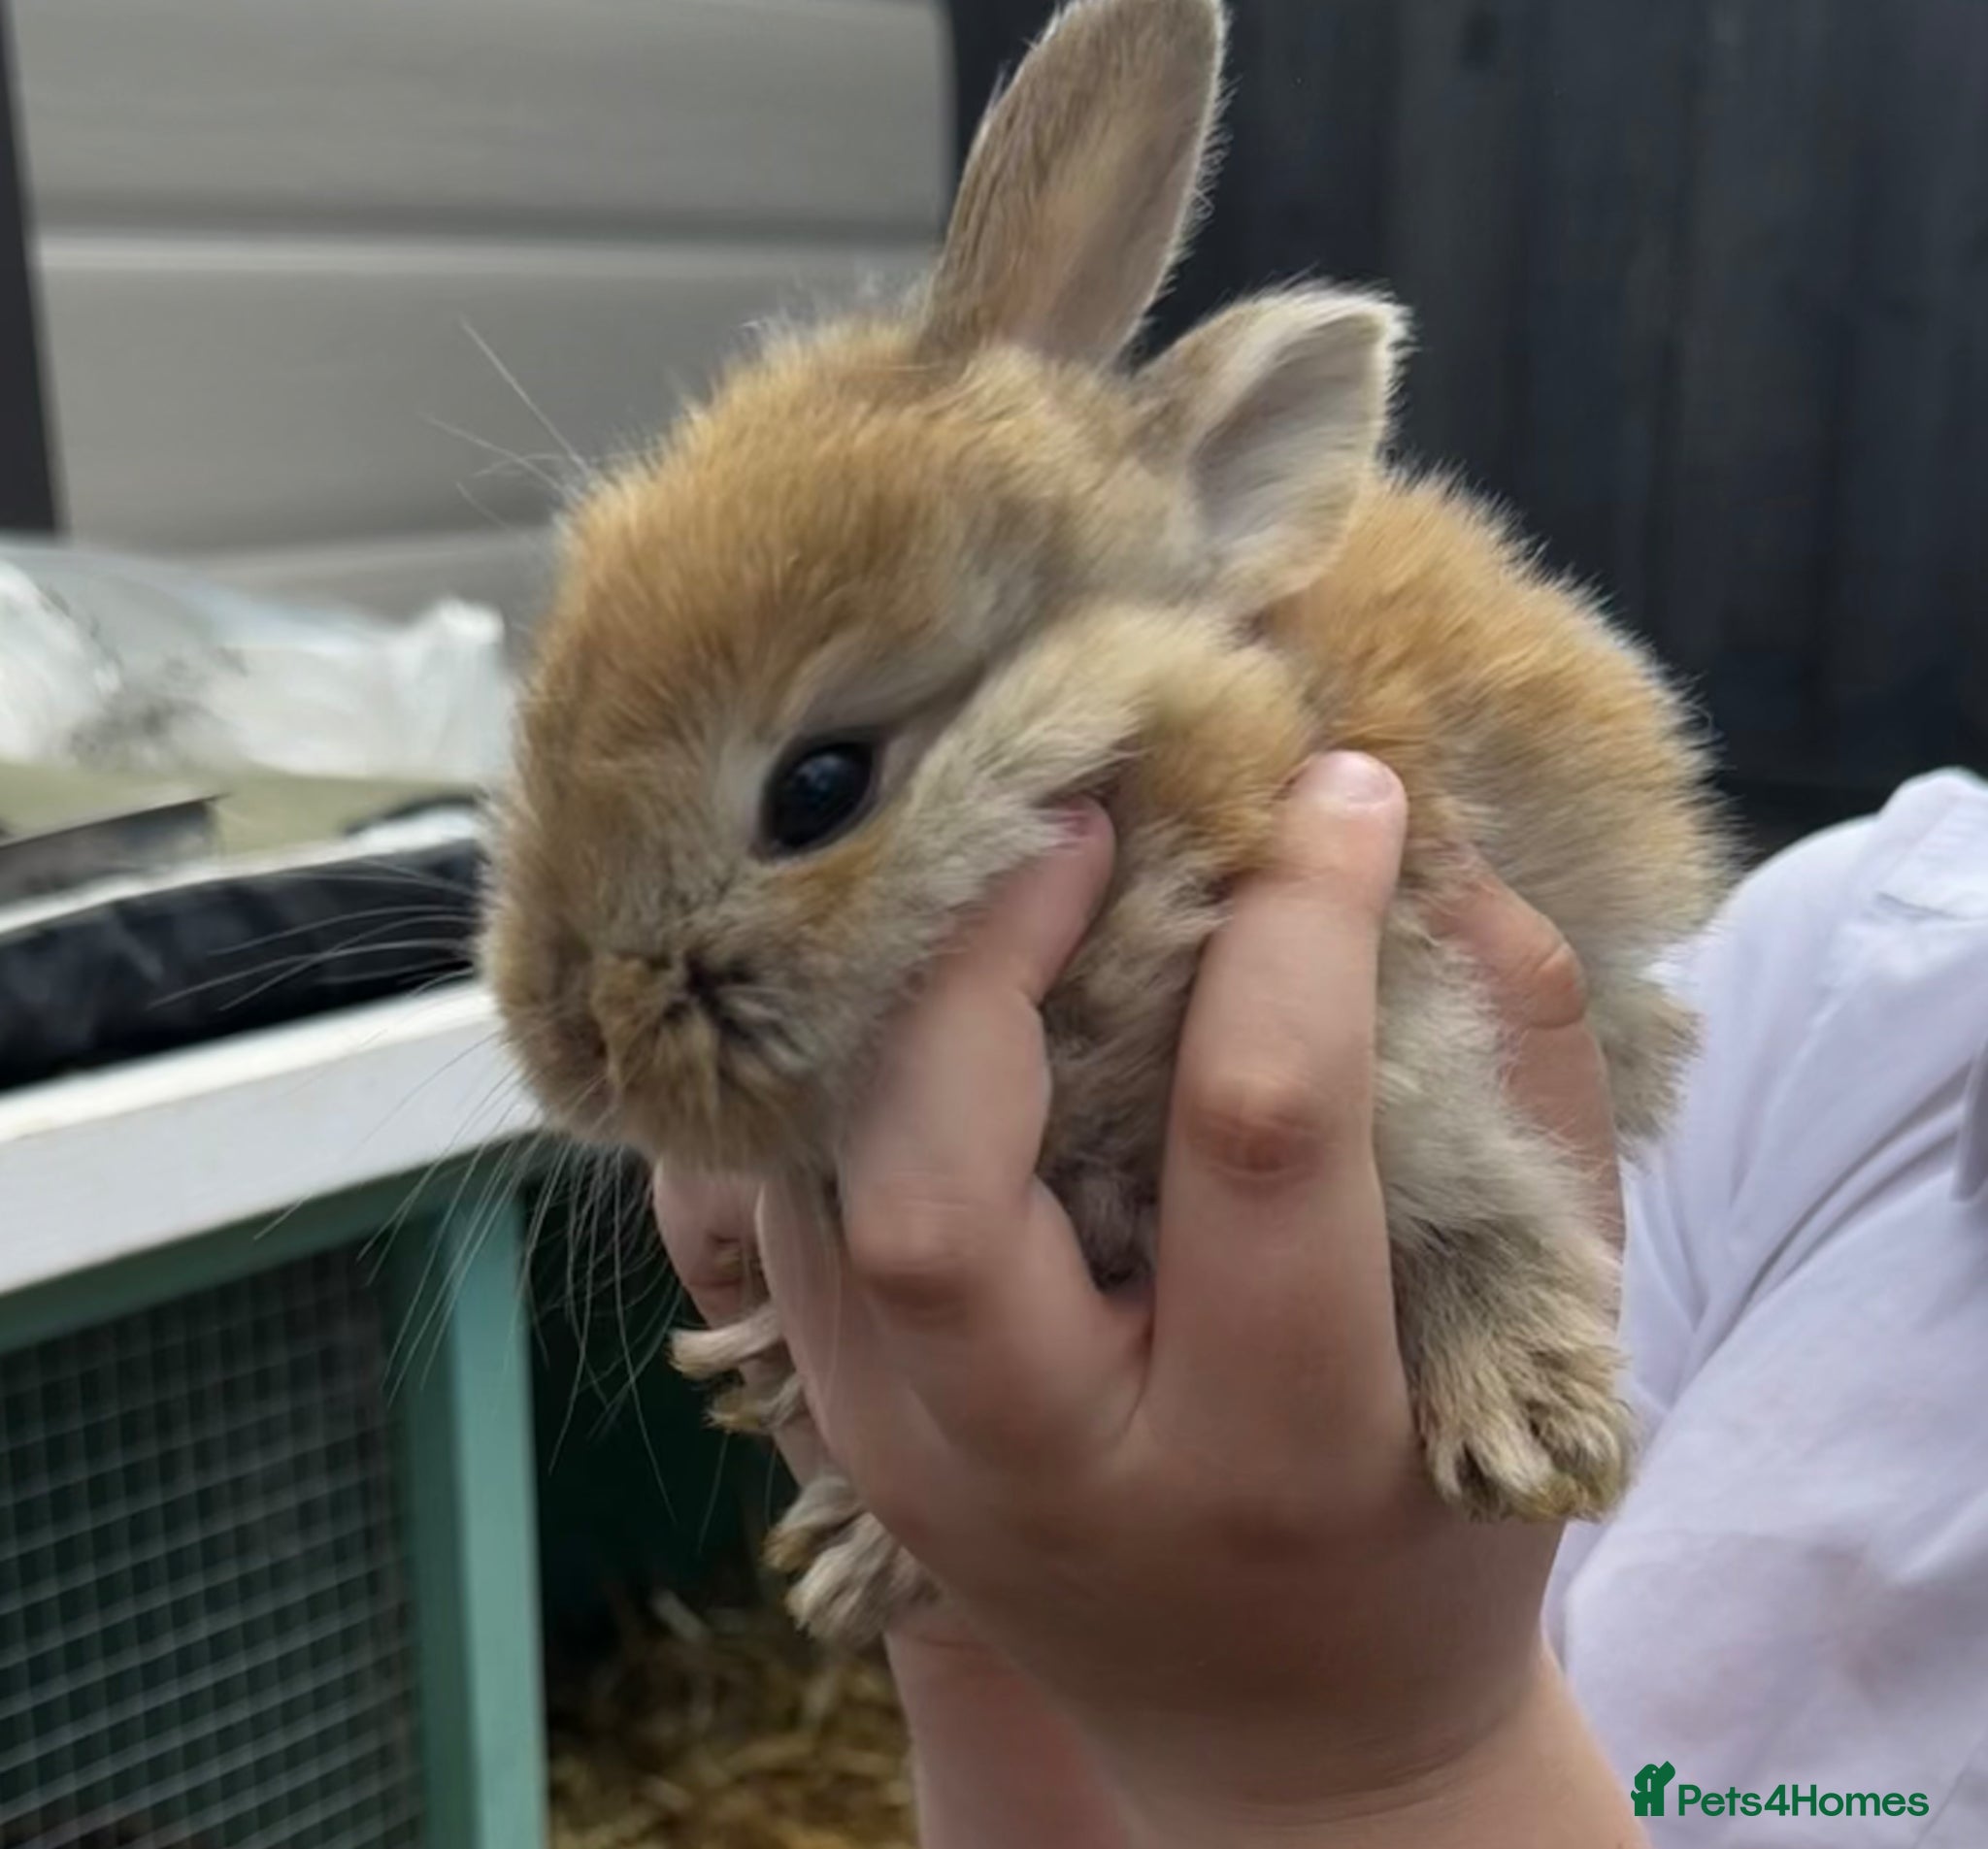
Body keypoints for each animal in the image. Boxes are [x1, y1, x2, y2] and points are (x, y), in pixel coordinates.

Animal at [482, 0, 1731, 1652]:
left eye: (820, 788)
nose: (569, 1047)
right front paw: (840, 1531)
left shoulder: (1421, 1046)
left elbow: (1478, 1207)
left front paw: (1532, 1431)